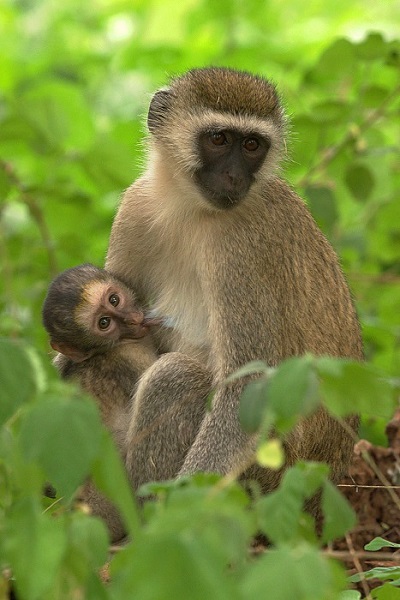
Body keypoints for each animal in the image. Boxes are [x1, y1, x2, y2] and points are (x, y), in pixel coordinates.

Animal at [105, 68, 362, 502]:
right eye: (219, 139)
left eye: (253, 145)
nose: (235, 176)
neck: (188, 208)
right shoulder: (135, 208)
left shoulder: (241, 248)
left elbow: (248, 387)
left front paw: (179, 511)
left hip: (267, 475)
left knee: (174, 376)